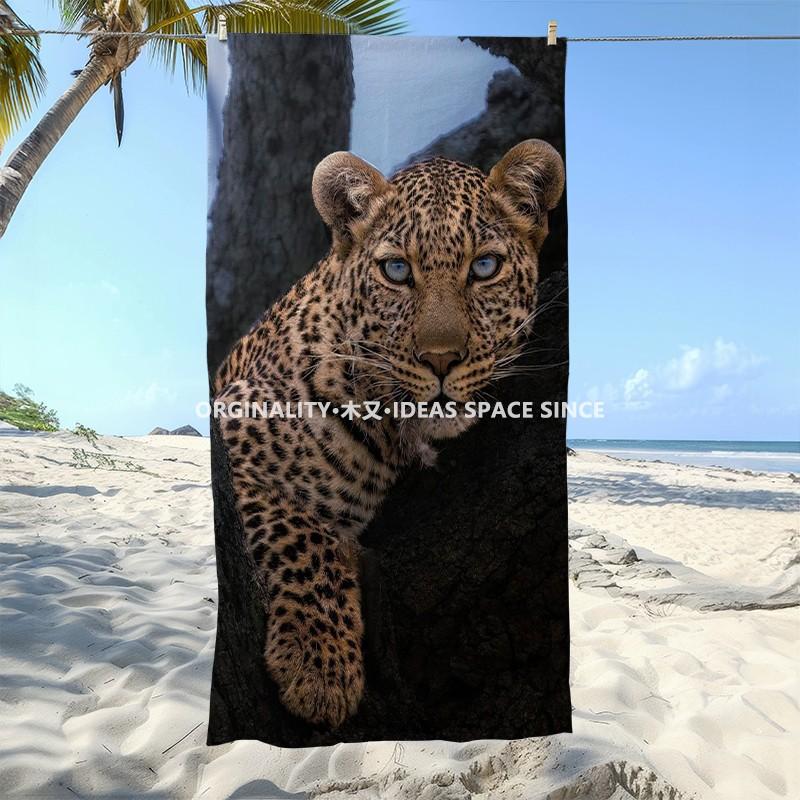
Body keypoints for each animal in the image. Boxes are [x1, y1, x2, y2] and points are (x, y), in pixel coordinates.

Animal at [213, 139, 565, 729]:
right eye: (397, 271)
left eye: (484, 267)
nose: (442, 359)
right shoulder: (234, 436)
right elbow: (303, 534)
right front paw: (320, 665)